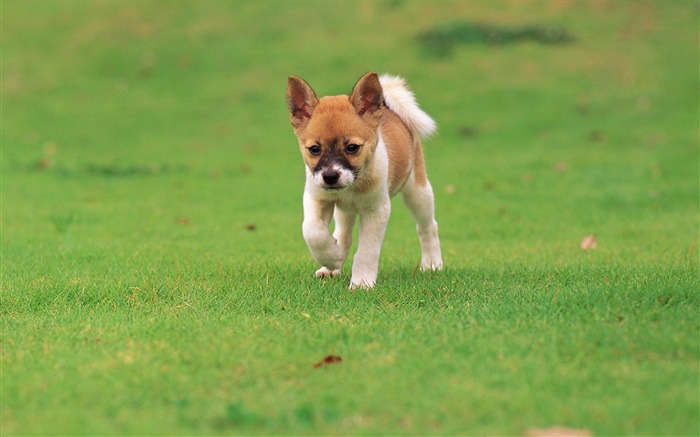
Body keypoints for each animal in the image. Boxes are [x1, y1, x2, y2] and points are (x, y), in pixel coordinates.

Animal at [286, 71, 442, 290]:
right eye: (314, 149)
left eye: (352, 147)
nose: (330, 177)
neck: (353, 186)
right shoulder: (317, 199)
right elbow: (312, 232)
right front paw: (332, 257)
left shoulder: (376, 211)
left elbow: (368, 249)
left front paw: (361, 282)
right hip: (344, 211)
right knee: (343, 234)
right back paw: (333, 264)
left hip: (418, 193)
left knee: (428, 226)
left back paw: (432, 263)